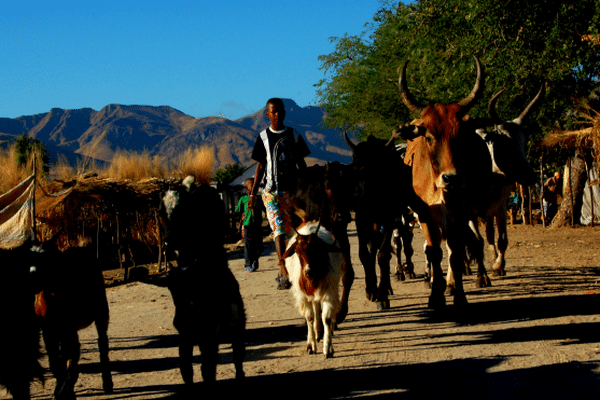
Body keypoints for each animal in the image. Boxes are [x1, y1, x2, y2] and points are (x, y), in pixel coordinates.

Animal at [284, 222, 344, 360]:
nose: (308, 271)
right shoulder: (303, 296)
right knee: (315, 308)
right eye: (297, 251)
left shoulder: (329, 293)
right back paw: (317, 333)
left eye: (317, 249)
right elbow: (309, 317)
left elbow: (326, 318)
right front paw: (311, 345)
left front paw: (328, 348)